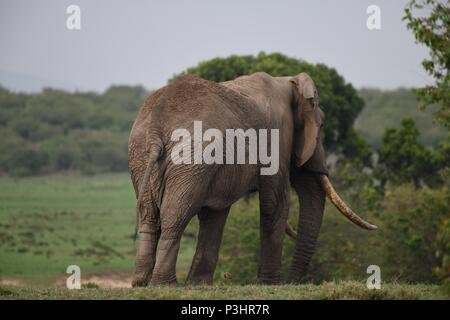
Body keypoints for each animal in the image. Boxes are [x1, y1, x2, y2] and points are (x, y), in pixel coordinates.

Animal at [127, 72, 376, 288]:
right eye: (322, 126)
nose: (292, 283)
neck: (288, 82)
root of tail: (156, 126)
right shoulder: (276, 137)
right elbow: (275, 203)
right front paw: (270, 285)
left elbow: (215, 213)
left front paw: (198, 285)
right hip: (190, 156)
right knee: (175, 214)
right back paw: (165, 285)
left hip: (141, 154)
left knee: (150, 216)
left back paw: (141, 284)